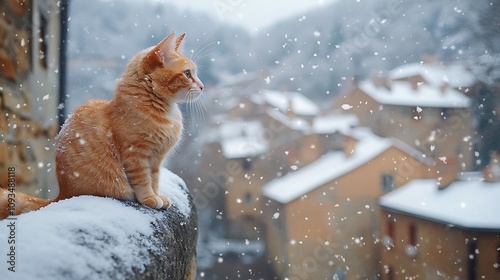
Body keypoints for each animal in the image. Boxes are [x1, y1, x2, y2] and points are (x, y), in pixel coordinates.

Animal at [0, 30, 203, 219]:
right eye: (187, 74)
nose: (202, 86)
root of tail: (60, 196)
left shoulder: (156, 160)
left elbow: (154, 179)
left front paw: (157, 195)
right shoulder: (135, 155)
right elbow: (143, 180)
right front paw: (149, 198)